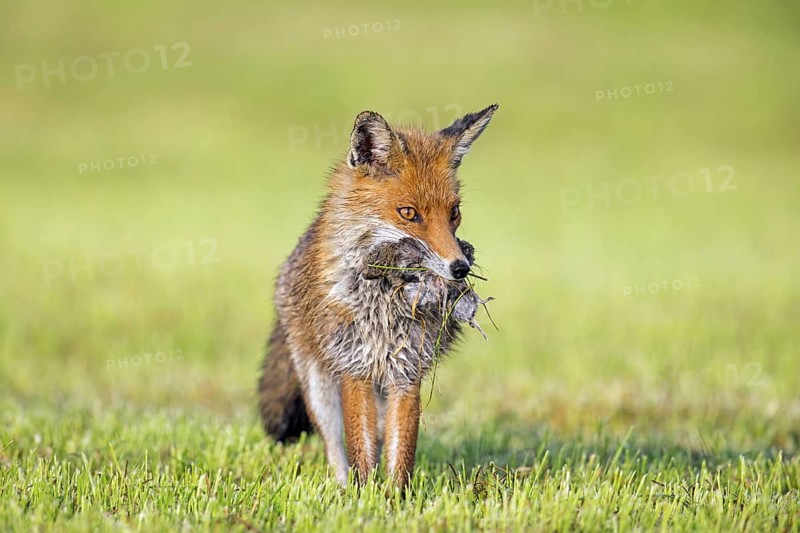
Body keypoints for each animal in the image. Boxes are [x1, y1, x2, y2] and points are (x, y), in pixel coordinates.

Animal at [258, 104, 498, 491]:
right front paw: (362, 496)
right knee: (333, 445)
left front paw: (396, 498)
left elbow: (400, 452)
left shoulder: (406, 373)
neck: (384, 306)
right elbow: (360, 449)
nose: (460, 268)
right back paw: (340, 488)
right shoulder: (354, 369)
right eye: (409, 213)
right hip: (318, 386)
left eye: (454, 213)